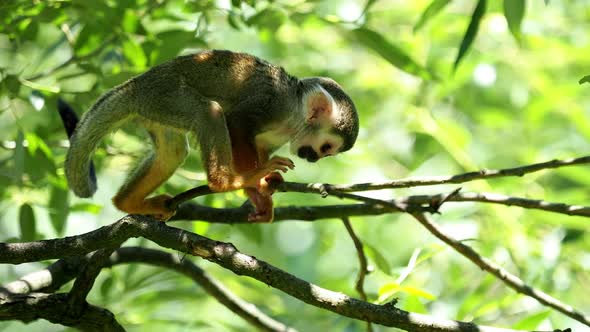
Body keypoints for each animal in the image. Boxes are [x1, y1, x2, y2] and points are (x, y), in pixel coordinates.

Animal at [60, 50, 358, 223]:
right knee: (210, 112)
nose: (315, 159)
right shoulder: (273, 102)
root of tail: (137, 85)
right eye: (326, 147)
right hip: (167, 95)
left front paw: (262, 195)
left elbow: (258, 145)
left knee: (172, 152)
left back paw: (127, 202)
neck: (294, 113)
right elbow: (236, 124)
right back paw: (224, 182)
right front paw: (254, 179)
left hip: (158, 110)